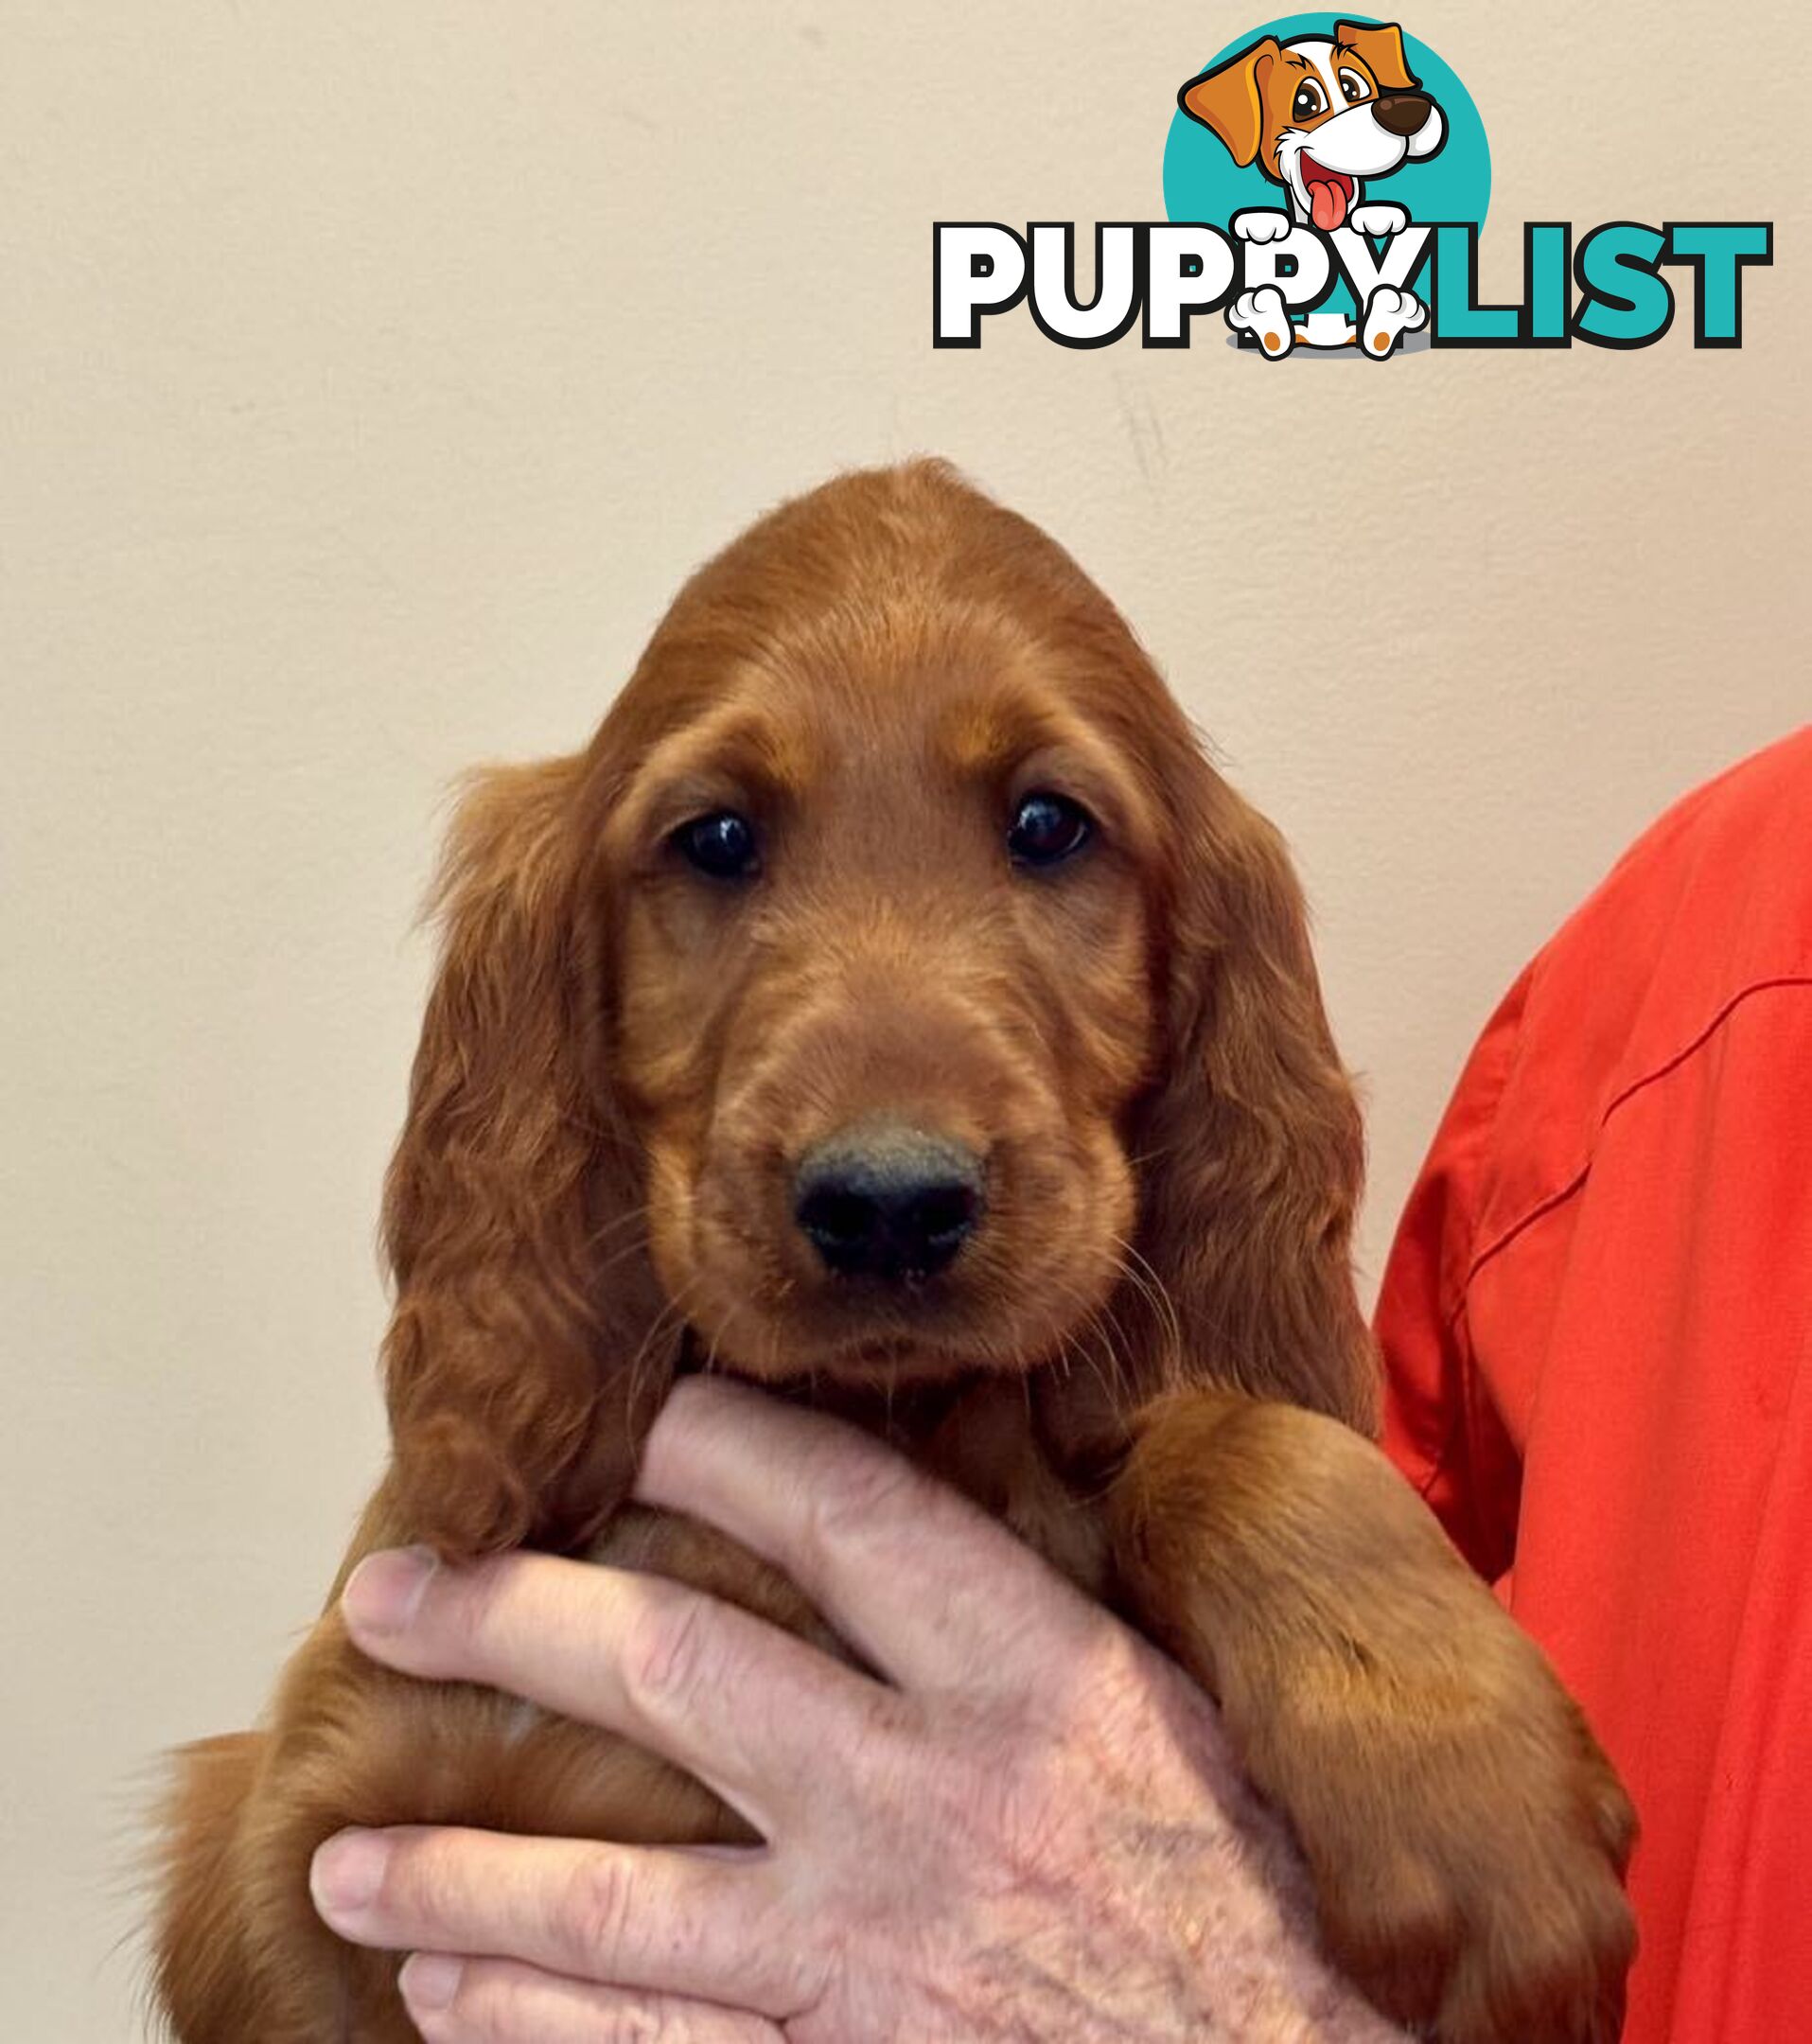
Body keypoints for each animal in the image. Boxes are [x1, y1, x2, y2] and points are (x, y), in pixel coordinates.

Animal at [149, 464, 1634, 2044]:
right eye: (716, 839)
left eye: (1047, 825)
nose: (885, 1205)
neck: (893, 1416)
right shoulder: (320, 1835)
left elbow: (1239, 1438)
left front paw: (1469, 1810)